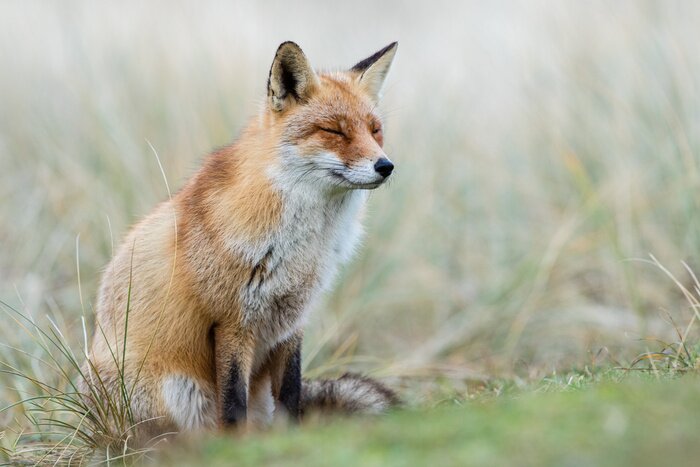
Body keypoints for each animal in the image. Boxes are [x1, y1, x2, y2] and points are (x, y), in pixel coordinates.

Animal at [82, 41, 400, 440]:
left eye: (375, 131)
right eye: (334, 131)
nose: (386, 166)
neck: (301, 245)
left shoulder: (292, 322)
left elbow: (292, 396)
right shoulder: (233, 321)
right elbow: (233, 405)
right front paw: (236, 447)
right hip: (174, 391)